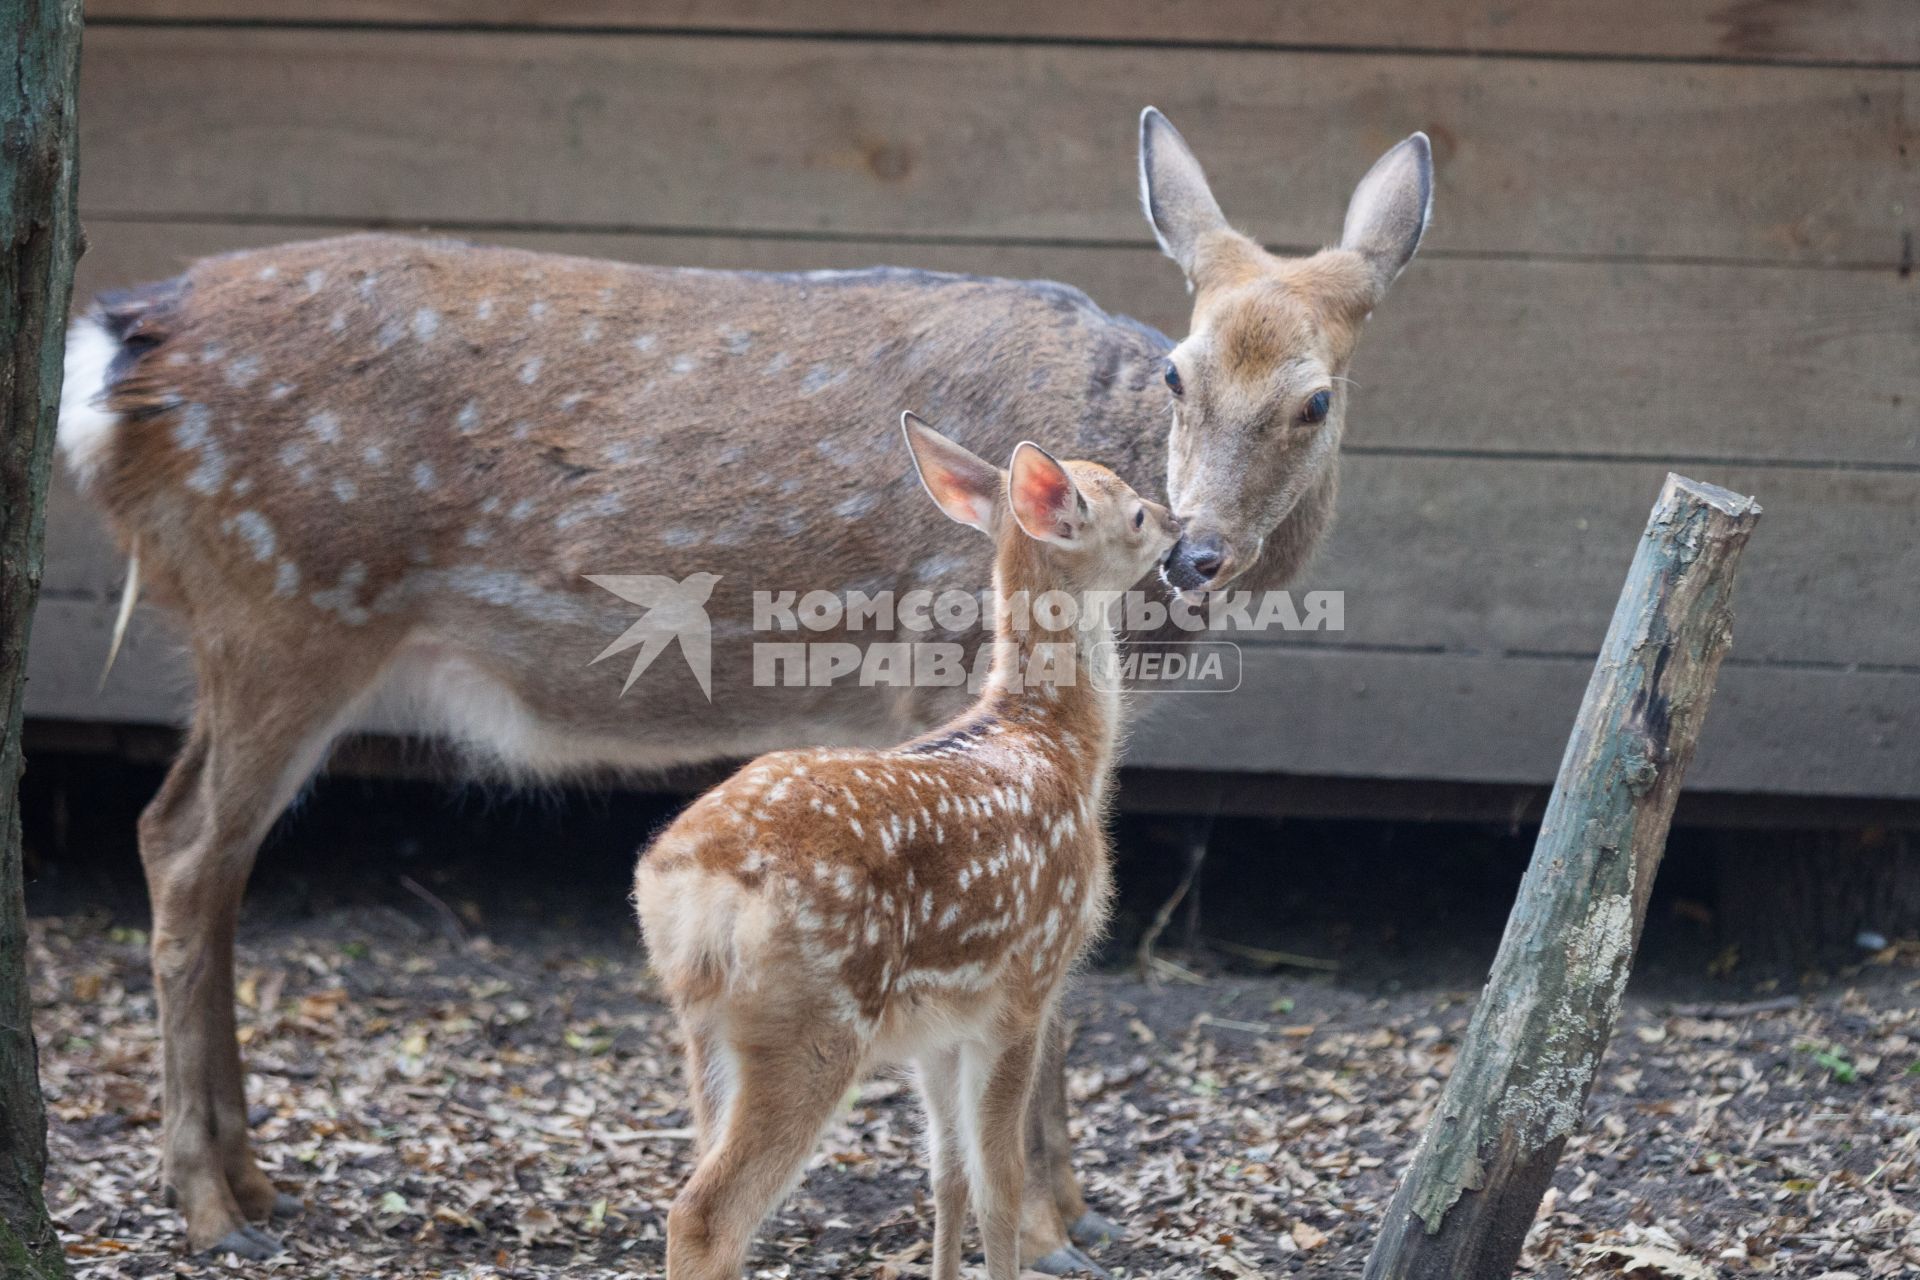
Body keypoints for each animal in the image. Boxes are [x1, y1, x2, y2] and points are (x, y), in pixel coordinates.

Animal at [645, 412, 1175, 1280]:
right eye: (1132, 511)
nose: (1179, 526)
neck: (1054, 744)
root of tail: (691, 880)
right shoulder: (1025, 987)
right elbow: (1000, 1185)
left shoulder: (937, 1026)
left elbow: (946, 1175)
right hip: (813, 1020)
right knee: (706, 1213)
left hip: (706, 1026)